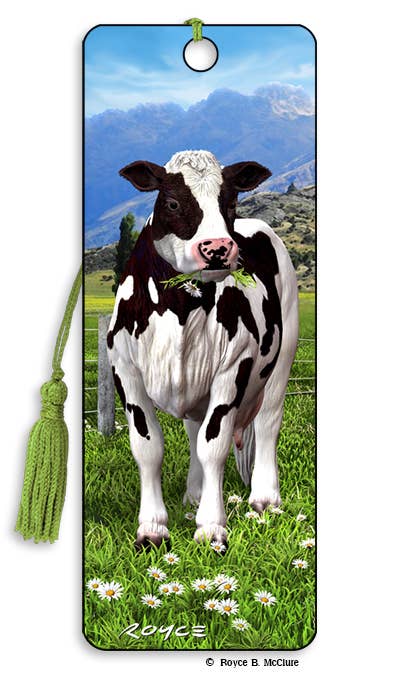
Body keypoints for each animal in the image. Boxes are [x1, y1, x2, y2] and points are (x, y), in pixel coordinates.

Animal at [107, 149, 299, 550]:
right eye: (172, 201)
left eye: (230, 202)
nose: (217, 248)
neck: (180, 309)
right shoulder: (124, 370)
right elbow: (149, 447)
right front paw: (152, 527)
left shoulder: (233, 368)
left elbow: (214, 445)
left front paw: (211, 527)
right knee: (194, 430)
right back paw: (194, 495)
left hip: (283, 354)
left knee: (268, 422)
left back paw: (265, 498)